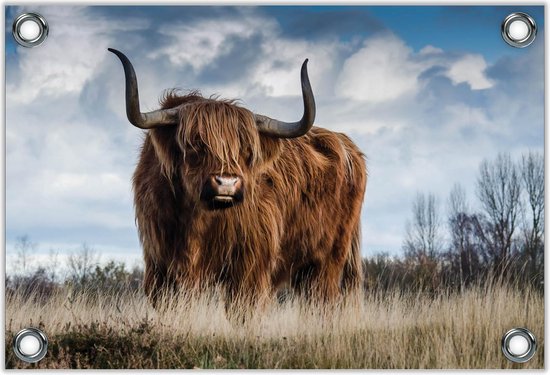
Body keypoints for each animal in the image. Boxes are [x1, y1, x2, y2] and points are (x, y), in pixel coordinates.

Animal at [108, 47, 366, 312]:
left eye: (247, 150)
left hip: (327, 261)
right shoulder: (160, 266)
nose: (227, 183)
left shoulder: (249, 267)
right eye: (195, 144)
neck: (196, 221)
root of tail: (346, 144)